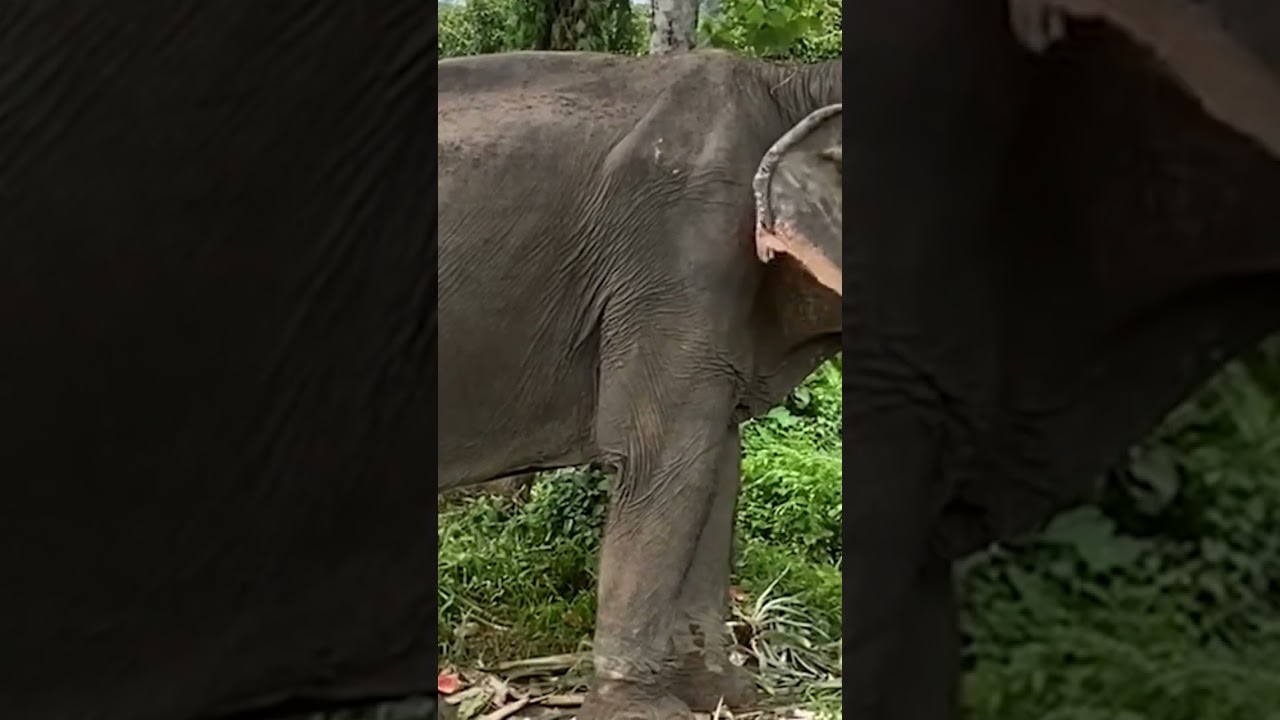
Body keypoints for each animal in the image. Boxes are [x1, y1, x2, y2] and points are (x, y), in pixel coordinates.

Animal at [437, 50, 842, 720]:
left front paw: (723, 694)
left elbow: (717, 465)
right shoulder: (681, 254)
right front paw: (641, 710)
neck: (786, 84)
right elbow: (663, 456)